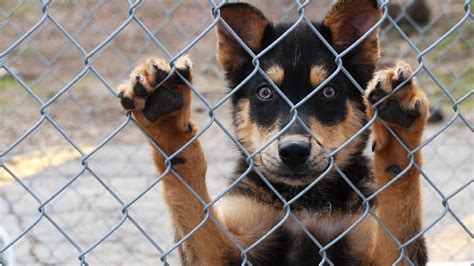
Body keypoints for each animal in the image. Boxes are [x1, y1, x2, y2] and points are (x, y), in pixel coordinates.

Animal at [116, 1, 428, 264]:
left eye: (328, 92)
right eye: (265, 92)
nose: (294, 151)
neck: (303, 202)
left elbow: (400, 199)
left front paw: (398, 132)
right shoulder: (233, 240)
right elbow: (187, 188)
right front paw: (166, 122)